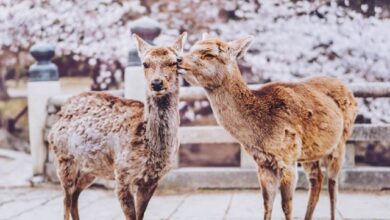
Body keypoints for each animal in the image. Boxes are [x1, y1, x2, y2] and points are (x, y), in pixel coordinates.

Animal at [47, 33, 187, 220]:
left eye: (175, 62)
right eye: (145, 63)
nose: (157, 83)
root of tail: (61, 112)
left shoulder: (152, 180)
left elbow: (140, 215)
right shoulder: (122, 173)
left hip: (90, 168)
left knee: (75, 195)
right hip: (64, 159)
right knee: (65, 200)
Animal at [178, 36, 358, 220]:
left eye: (209, 54)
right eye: (190, 48)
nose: (179, 60)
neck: (260, 134)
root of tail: (349, 90)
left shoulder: (287, 156)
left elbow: (286, 206)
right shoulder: (263, 162)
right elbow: (267, 203)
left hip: (341, 141)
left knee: (333, 184)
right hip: (311, 152)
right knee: (317, 179)